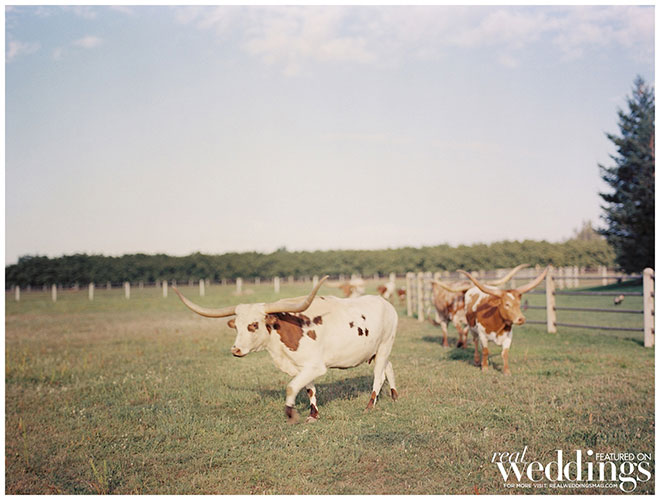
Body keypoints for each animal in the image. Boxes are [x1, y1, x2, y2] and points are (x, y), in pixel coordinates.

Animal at [172, 276, 399, 423]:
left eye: (253, 325)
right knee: (388, 367)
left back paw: (370, 405)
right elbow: (309, 389)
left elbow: (291, 387)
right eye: (236, 326)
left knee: (378, 375)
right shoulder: (302, 367)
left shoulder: (315, 366)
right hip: (378, 351)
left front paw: (290, 413)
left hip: (384, 346)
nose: (235, 350)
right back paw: (394, 395)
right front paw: (313, 415)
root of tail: (386, 303)